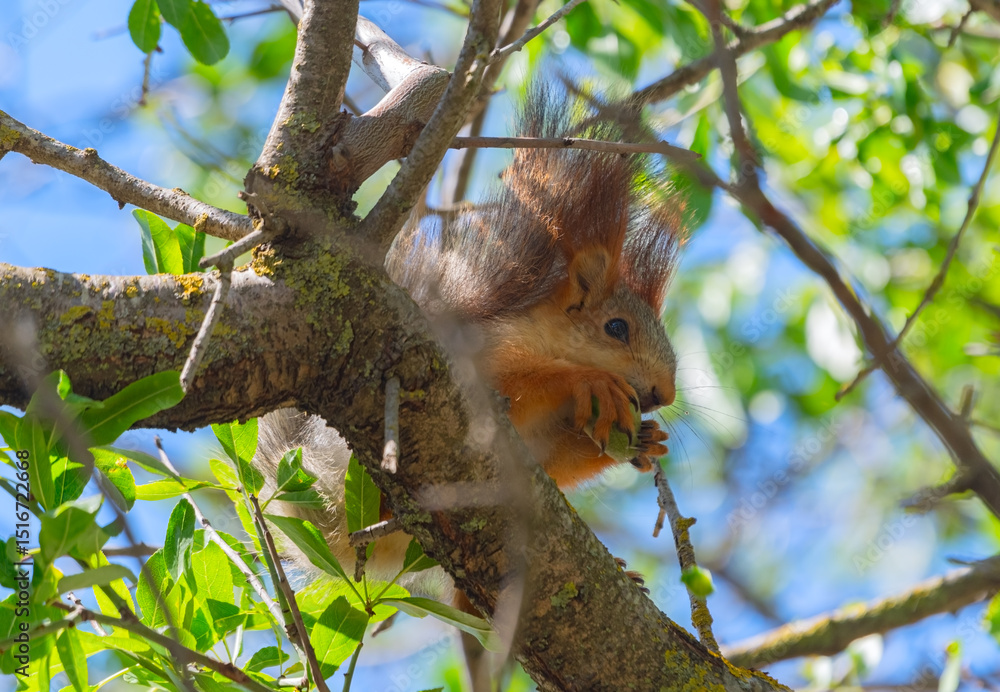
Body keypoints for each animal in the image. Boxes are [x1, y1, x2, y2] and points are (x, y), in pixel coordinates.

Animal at [254, 87, 684, 592]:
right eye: (616, 328)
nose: (665, 394)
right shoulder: (489, 351)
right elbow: (518, 381)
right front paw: (590, 381)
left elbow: (557, 461)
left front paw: (647, 441)